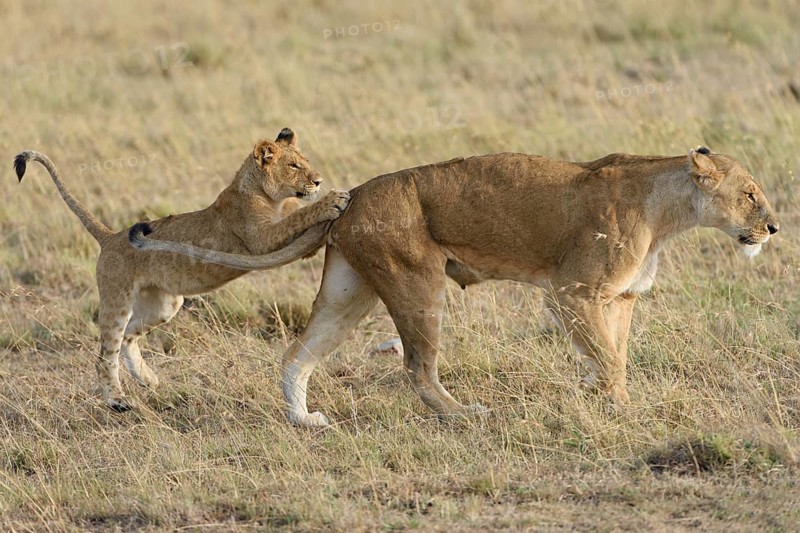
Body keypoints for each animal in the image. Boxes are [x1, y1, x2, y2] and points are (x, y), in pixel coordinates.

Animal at [14, 128, 350, 412]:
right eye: (293, 166)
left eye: (306, 162)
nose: (318, 181)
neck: (266, 195)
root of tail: (110, 236)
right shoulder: (260, 239)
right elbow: (299, 216)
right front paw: (332, 200)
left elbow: (297, 215)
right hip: (116, 299)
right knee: (105, 354)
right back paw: (117, 400)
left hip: (164, 305)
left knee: (128, 337)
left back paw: (148, 379)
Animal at [128, 146, 779, 427]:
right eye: (750, 193)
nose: (774, 227)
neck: (668, 211)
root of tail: (350, 196)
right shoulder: (572, 292)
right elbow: (610, 359)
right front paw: (620, 411)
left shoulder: (616, 299)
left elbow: (611, 354)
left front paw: (605, 401)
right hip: (417, 283)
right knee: (418, 368)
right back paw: (466, 414)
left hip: (349, 291)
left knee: (295, 354)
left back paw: (305, 421)